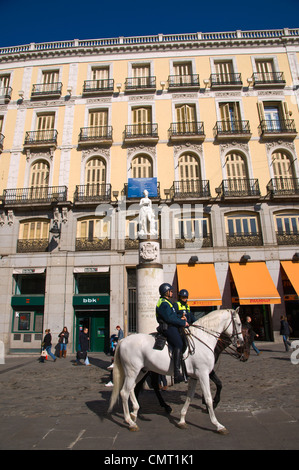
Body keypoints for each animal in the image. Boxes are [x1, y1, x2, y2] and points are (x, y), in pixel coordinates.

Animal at [109, 308, 245, 434]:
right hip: (133, 371)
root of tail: (123, 340)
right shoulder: (203, 374)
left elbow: (189, 397)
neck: (202, 340)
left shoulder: (195, 376)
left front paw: (182, 420)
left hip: (140, 371)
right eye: (239, 323)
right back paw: (130, 422)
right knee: (124, 392)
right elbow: (208, 399)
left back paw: (135, 412)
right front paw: (218, 425)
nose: (241, 342)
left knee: (131, 388)